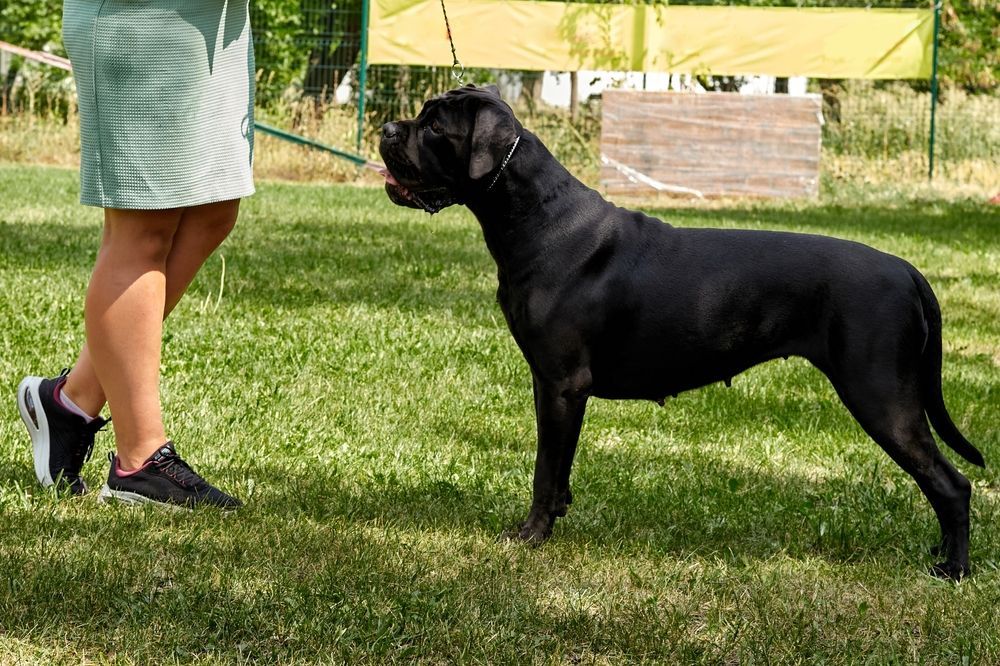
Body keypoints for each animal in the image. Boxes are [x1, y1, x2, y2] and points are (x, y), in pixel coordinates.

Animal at [378, 85, 988, 580]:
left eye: (435, 126)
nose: (387, 129)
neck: (534, 216)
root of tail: (906, 269)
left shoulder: (558, 383)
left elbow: (545, 469)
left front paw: (530, 537)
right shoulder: (562, 390)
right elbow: (562, 469)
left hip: (882, 396)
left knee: (951, 484)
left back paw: (953, 570)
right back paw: (939, 555)